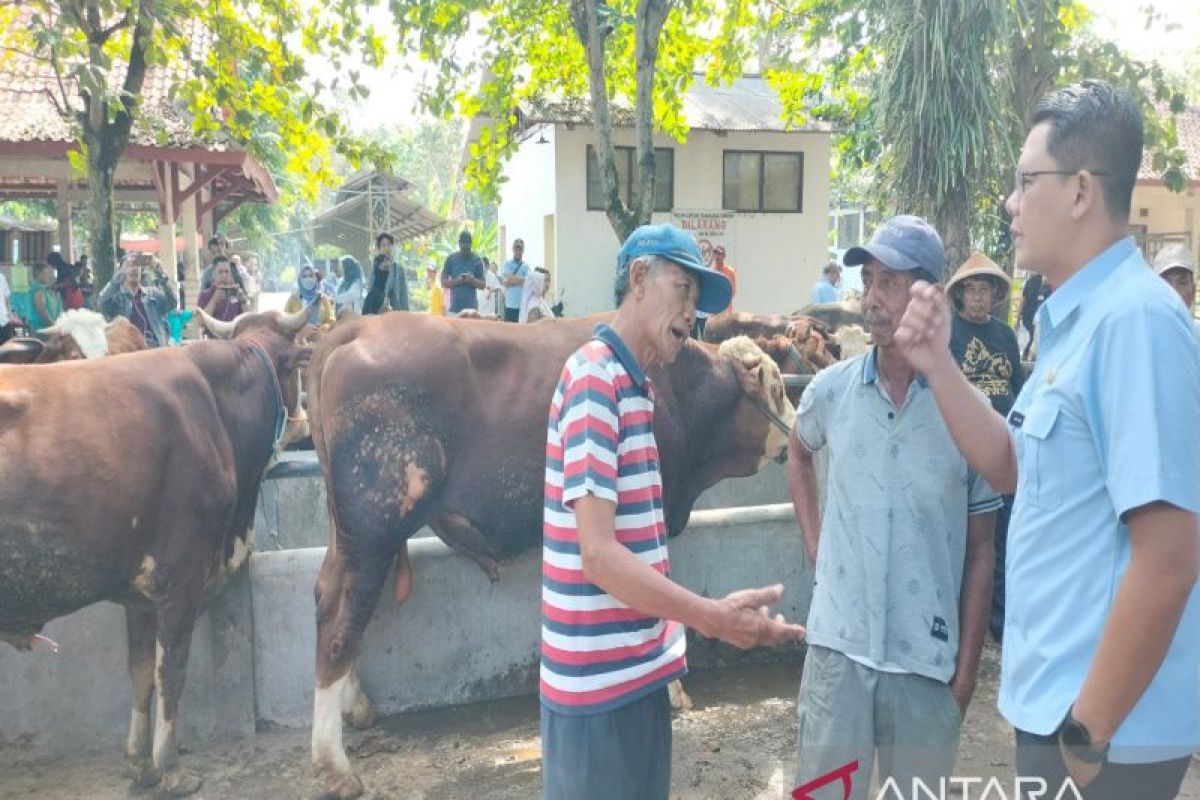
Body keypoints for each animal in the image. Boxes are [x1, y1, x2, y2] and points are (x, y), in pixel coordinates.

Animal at [1, 304, 309, 796]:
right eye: (294, 365)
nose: (302, 424)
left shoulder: (140, 594)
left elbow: (141, 674)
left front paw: (139, 763)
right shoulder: (182, 576)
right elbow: (171, 673)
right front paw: (170, 768)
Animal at [304, 314, 796, 800]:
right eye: (777, 388)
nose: (795, 427)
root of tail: (360, 327)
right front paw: (672, 686)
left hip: (346, 533)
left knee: (329, 597)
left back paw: (356, 707)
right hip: (376, 523)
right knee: (343, 624)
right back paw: (335, 766)